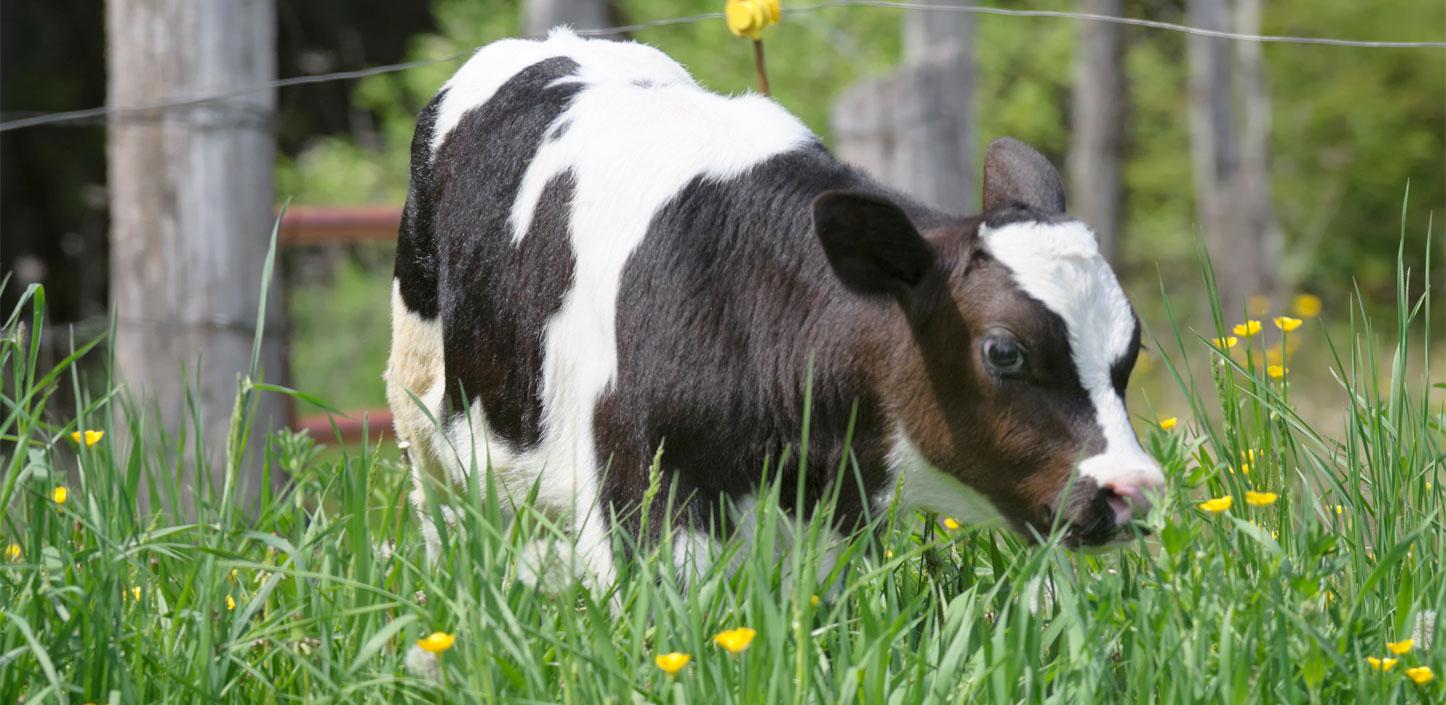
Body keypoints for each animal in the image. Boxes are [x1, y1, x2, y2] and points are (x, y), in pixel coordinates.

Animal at [384, 28, 1162, 583]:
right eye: (1004, 350)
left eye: (1129, 351)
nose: (1132, 488)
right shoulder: (639, 505)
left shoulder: (838, 523)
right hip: (420, 403)